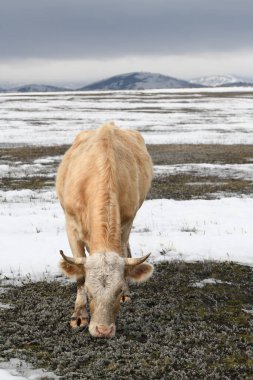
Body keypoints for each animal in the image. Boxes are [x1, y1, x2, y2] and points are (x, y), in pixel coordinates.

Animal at [56, 122, 153, 338]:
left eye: (117, 292)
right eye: (90, 292)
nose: (103, 330)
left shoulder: (127, 221)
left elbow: (123, 250)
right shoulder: (70, 225)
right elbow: (79, 276)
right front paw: (79, 316)